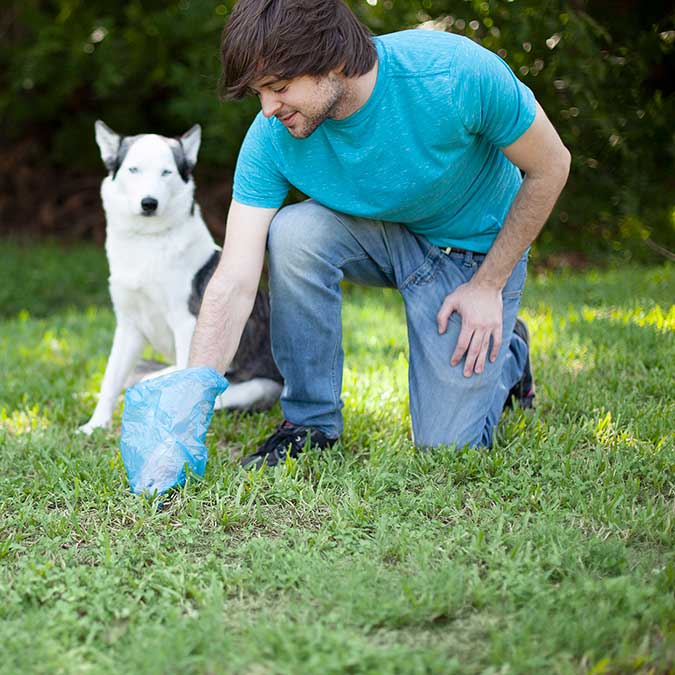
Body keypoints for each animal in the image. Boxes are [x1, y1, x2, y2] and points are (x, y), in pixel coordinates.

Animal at [80, 122, 284, 436]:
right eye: (134, 170)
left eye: (166, 172)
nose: (149, 203)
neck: (147, 242)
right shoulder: (128, 326)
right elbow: (110, 380)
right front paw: (96, 424)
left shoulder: (187, 321)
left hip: (255, 387)